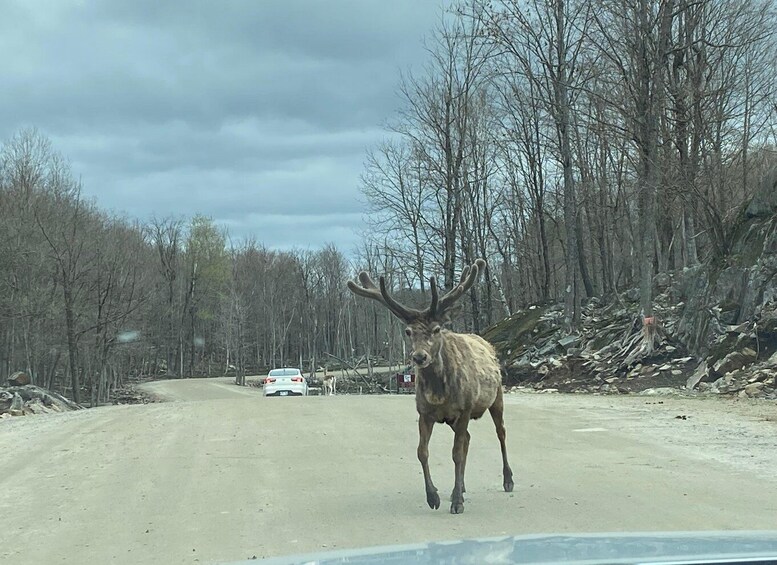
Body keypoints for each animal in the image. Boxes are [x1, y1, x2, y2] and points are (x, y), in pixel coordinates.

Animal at [346, 258, 510, 512]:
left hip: (497, 397)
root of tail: (487, 343)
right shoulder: (424, 412)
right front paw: (433, 497)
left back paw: (507, 480)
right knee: (468, 438)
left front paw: (457, 503)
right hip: (454, 419)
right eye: (408, 331)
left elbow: (456, 453)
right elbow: (422, 452)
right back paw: (461, 487)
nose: (419, 357)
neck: (439, 393)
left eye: (436, 329)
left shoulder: (465, 408)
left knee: (500, 432)